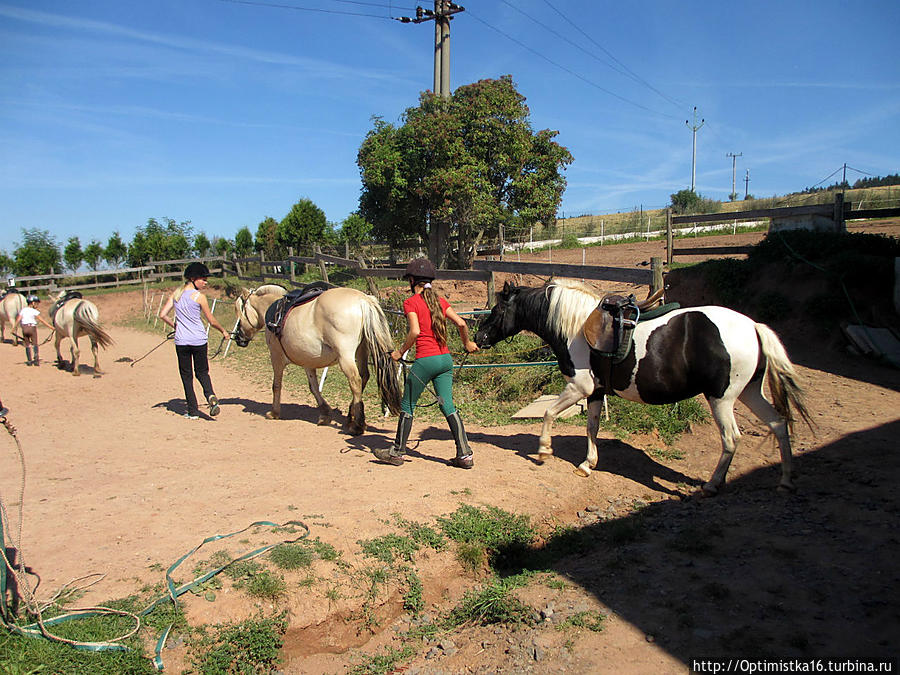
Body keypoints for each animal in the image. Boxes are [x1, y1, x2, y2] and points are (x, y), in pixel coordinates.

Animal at [232, 284, 400, 434]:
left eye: (239, 311)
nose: (238, 337)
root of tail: (362, 299)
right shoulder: (307, 360)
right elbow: (313, 387)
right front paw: (325, 414)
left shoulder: (276, 356)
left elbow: (276, 385)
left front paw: (274, 413)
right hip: (361, 351)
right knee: (364, 376)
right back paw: (351, 417)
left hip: (345, 356)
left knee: (355, 381)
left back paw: (357, 425)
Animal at [474, 280, 812, 496]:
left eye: (496, 311)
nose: (478, 339)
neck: (576, 325)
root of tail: (752, 326)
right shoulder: (596, 391)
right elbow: (592, 428)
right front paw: (587, 465)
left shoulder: (579, 386)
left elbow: (547, 414)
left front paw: (543, 450)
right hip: (750, 392)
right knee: (779, 423)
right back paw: (785, 481)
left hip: (722, 399)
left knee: (731, 438)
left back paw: (713, 484)